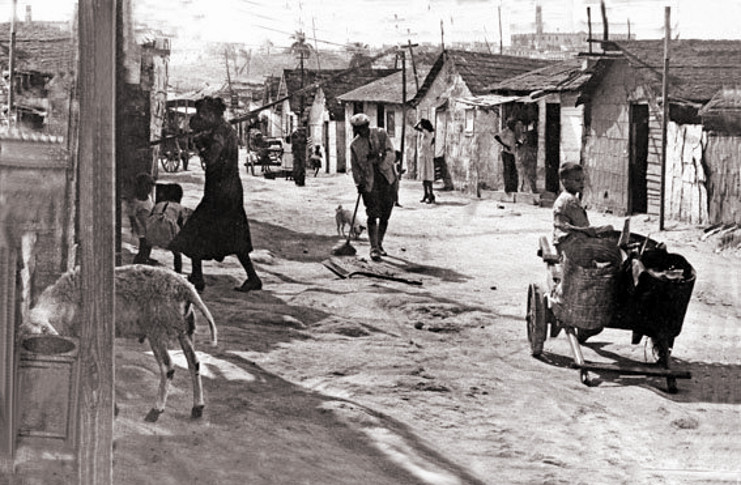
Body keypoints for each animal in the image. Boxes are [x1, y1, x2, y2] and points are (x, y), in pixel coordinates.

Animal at [22, 262, 217, 422]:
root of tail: (186, 288)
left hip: (157, 329)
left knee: (168, 367)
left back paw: (156, 411)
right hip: (184, 330)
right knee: (194, 362)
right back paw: (197, 407)